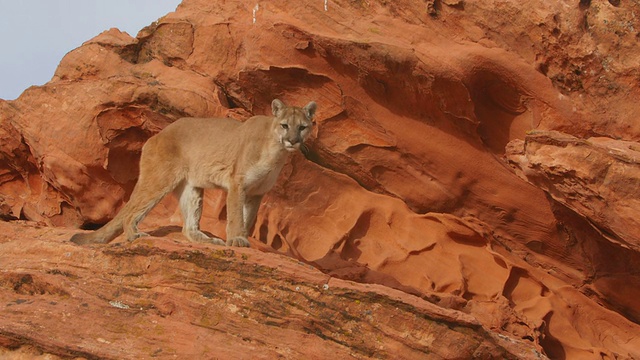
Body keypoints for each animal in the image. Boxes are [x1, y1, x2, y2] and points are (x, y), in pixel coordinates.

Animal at [70, 99, 318, 248]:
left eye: (302, 127)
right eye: (285, 125)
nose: (293, 141)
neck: (276, 151)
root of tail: (155, 136)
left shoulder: (257, 192)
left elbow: (248, 218)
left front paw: (240, 237)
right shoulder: (237, 183)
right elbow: (236, 215)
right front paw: (237, 239)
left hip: (191, 188)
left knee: (187, 227)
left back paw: (207, 240)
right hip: (160, 179)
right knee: (132, 212)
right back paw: (135, 235)